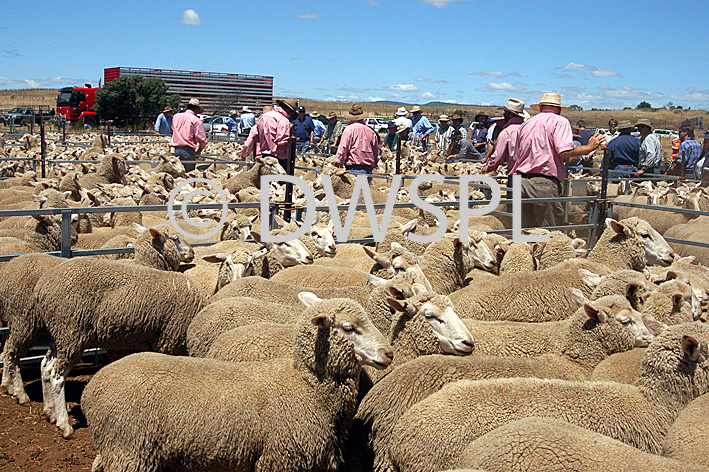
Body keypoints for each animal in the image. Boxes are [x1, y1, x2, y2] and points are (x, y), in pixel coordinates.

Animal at [82, 296, 392, 472]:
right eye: (349, 327)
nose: (388, 353)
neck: (307, 388)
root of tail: (91, 387)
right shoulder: (279, 459)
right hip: (129, 450)